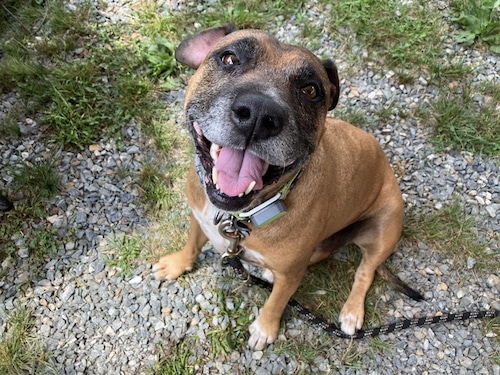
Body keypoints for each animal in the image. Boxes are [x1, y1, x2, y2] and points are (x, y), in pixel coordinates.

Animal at [153, 25, 422, 352]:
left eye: (310, 90)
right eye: (229, 58)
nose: (259, 113)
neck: (241, 216)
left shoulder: (292, 274)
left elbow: (277, 301)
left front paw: (265, 329)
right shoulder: (199, 217)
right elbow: (192, 244)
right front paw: (178, 263)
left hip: (384, 229)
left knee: (366, 271)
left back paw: (351, 312)